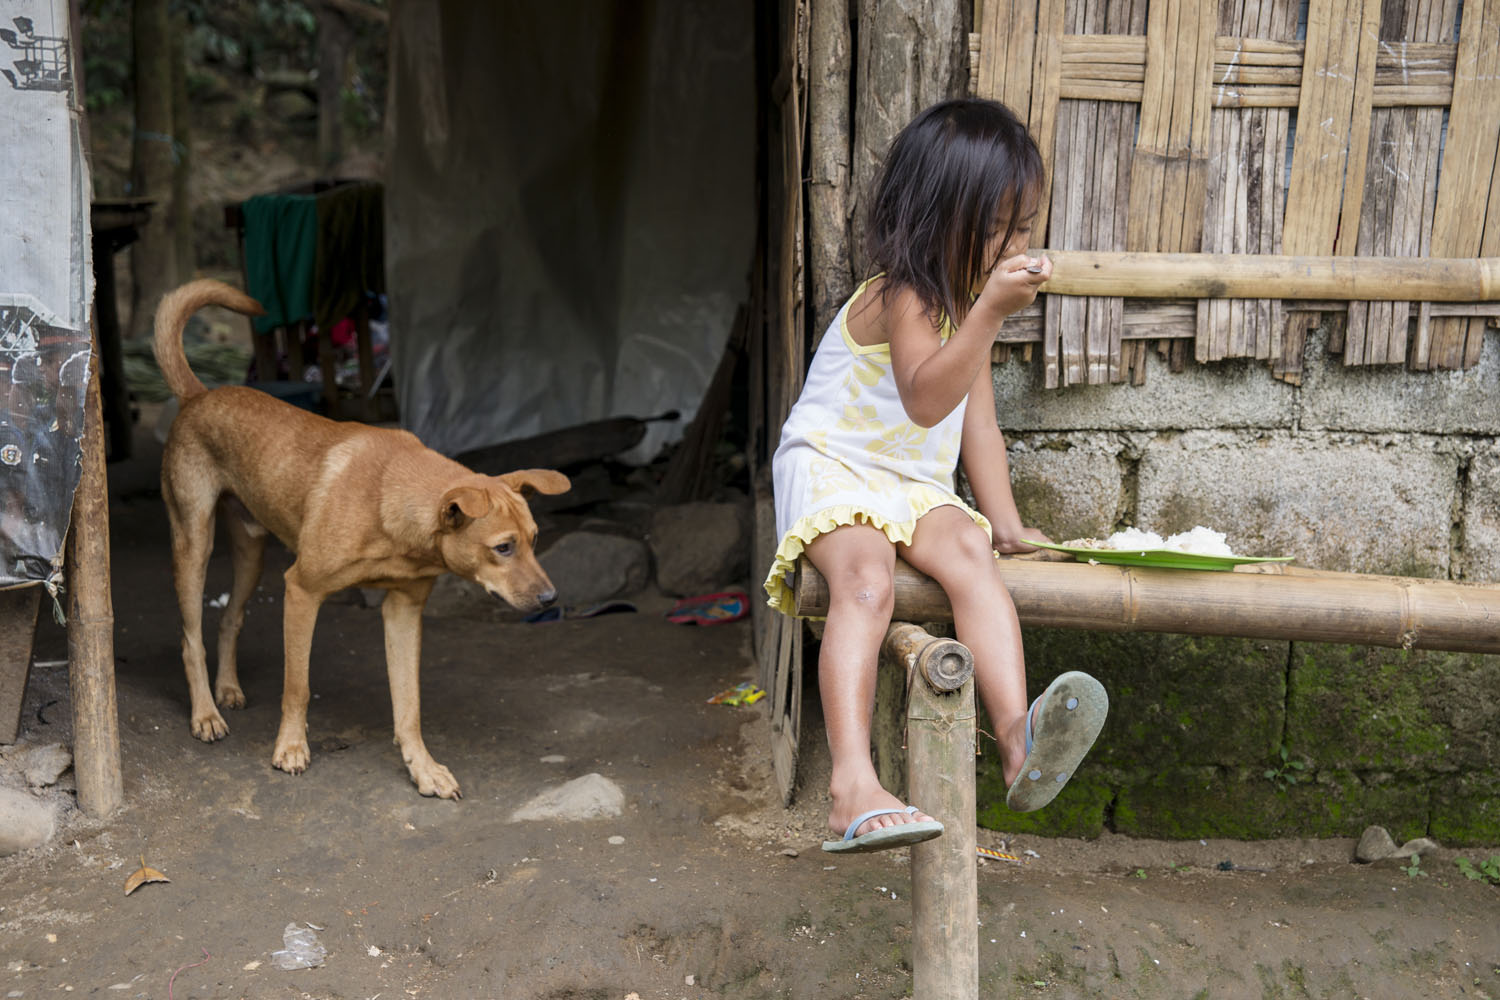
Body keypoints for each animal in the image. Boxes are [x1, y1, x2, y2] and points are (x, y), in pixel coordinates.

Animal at [153, 279, 569, 798]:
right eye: (503, 547)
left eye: (534, 539)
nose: (552, 599)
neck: (392, 507)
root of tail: (198, 395)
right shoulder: (301, 591)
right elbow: (298, 686)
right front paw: (290, 748)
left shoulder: (404, 610)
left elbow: (409, 705)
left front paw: (423, 767)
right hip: (194, 544)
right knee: (191, 637)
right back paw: (206, 714)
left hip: (251, 552)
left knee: (231, 617)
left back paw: (227, 689)